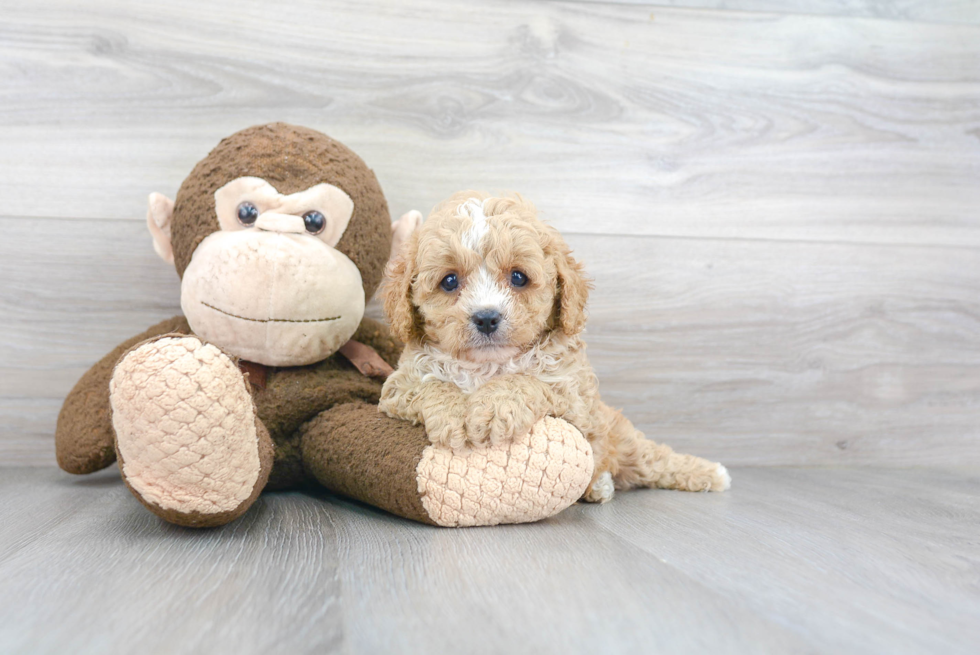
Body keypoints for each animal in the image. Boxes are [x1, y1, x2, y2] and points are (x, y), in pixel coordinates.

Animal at [378, 191, 732, 502]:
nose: (487, 318)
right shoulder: (399, 386)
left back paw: (709, 473)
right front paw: (454, 415)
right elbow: (431, 385)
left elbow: (525, 380)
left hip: (619, 437)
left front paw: (491, 409)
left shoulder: (573, 396)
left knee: (654, 459)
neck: (488, 366)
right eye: (449, 281)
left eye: (518, 277)